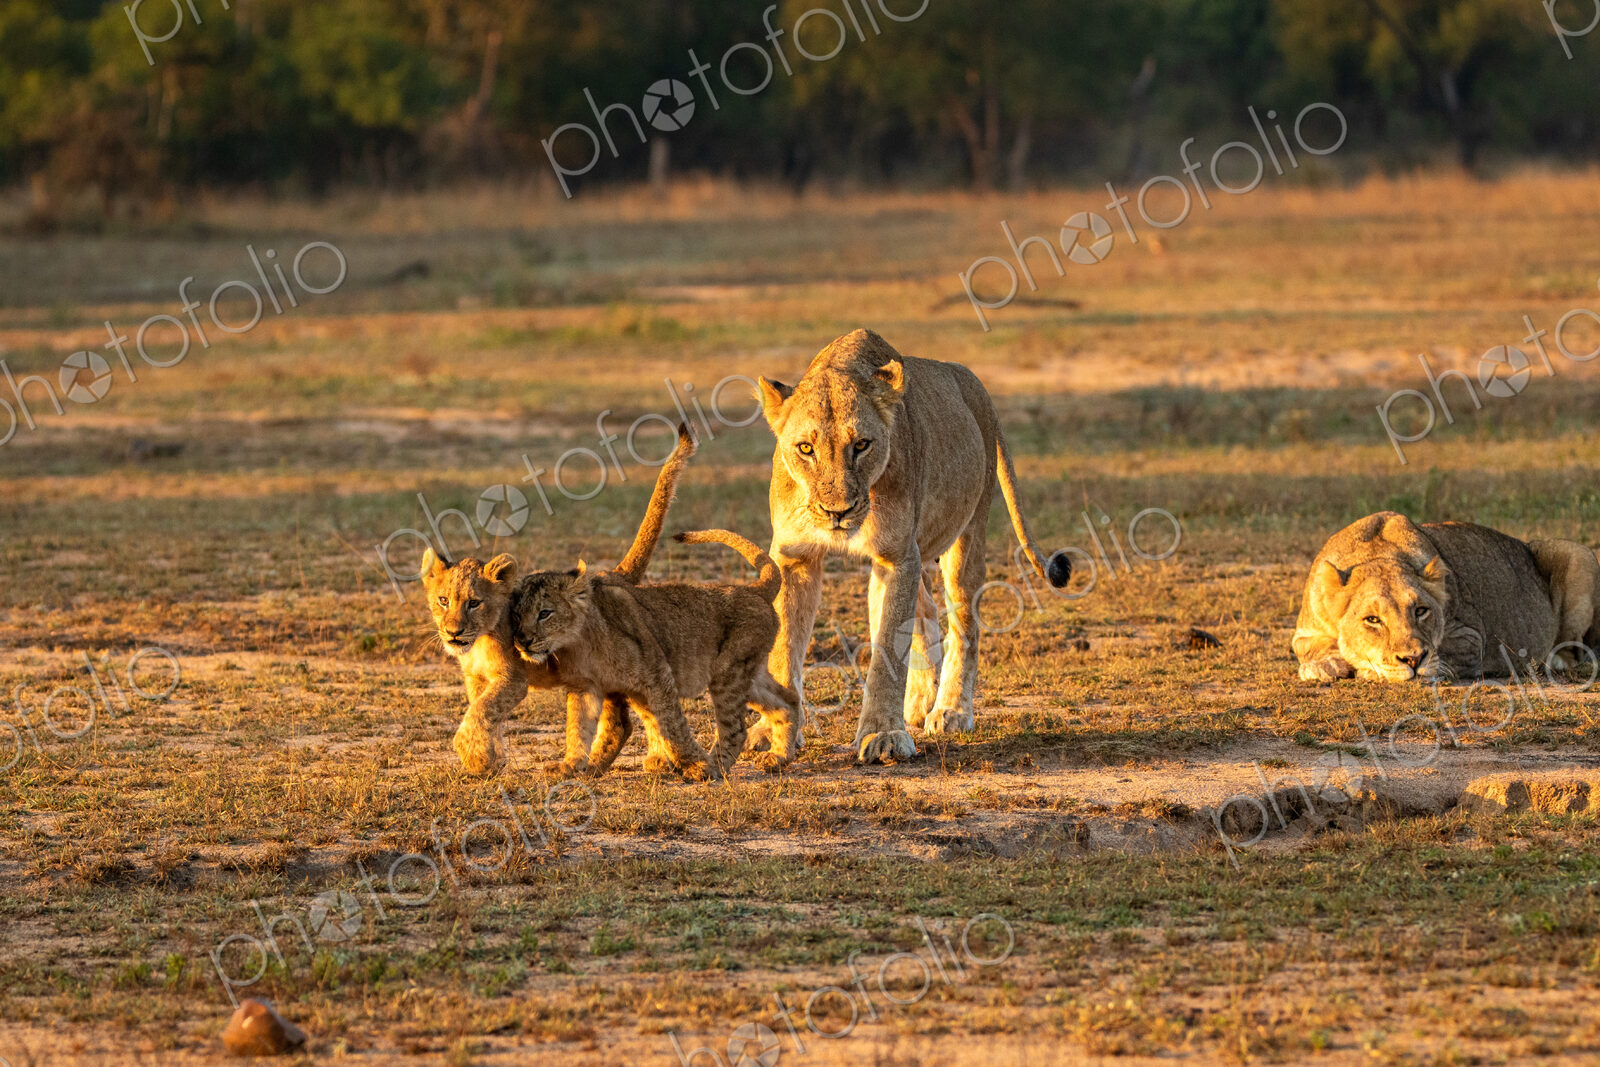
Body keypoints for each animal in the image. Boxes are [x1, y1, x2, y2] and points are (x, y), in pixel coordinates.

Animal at [422, 424, 697, 777]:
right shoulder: (475, 678)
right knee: (628, 716)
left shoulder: (512, 679)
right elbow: (485, 717)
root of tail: (608, 574)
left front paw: (470, 753)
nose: (453, 632)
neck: (479, 640)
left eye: (473, 603)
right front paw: (487, 760)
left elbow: (481, 712)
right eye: (443, 600)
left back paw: (655, 761)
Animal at [509, 529, 801, 780]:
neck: (578, 643)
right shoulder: (585, 687)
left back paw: (715, 766)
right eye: (516, 615)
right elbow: (577, 728)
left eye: (544, 613)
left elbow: (673, 725)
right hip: (747, 674)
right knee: (787, 700)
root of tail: (753, 589)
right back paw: (779, 757)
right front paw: (570, 765)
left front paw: (695, 766)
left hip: (727, 674)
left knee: (737, 729)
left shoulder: (657, 673)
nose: (523, 641)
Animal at [757, 328, 1071, 764]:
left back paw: (951, 710)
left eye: (862, 445)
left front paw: (883, 736)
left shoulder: (896, 556)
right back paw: (920, 701)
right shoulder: (796, 559)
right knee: (925, 611)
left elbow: (888, 651)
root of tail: (975, 384)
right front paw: (774, 733)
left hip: (967, 533)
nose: (838, 511)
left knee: (964, 624)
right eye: (806, 448)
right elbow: (785, 647)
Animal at [1293, 511, 1600, 683]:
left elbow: (1445, 653)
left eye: (1420, 611)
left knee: (1576, 649)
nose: (1413, 660)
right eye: (1372, 620)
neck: (1377, 554)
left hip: (1579, 554)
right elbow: (1313, 647)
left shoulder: (1471, 635)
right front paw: (1325, 665)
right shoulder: (1304, 632)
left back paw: (1553, 661)